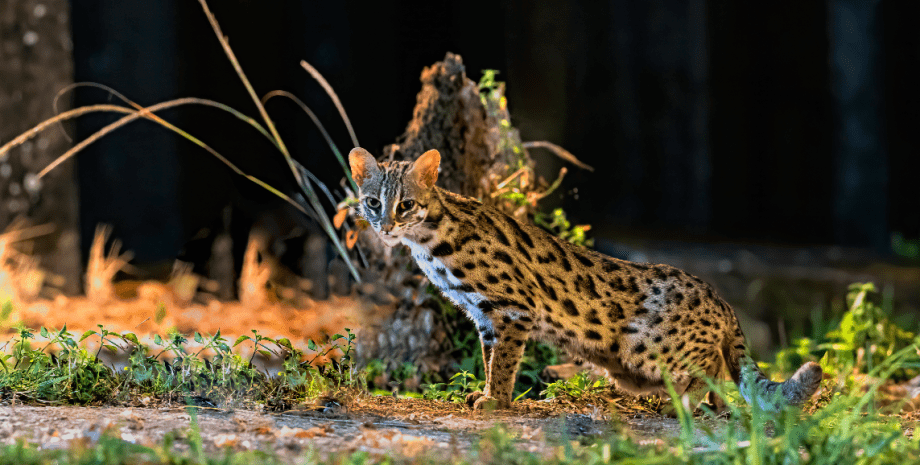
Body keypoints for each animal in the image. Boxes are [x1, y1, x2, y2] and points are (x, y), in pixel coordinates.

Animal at [348, 148, 824, 410]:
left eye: (406, 205)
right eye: (373, 202)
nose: (385, 227)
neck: (429, 240)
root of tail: (719, 297)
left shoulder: (513, 309)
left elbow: (504, 362)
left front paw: (496, 401)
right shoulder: (483, 316)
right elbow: (489, 358)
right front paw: (485, 393)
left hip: (645, 348)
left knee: (710, 366)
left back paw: (686, 402)